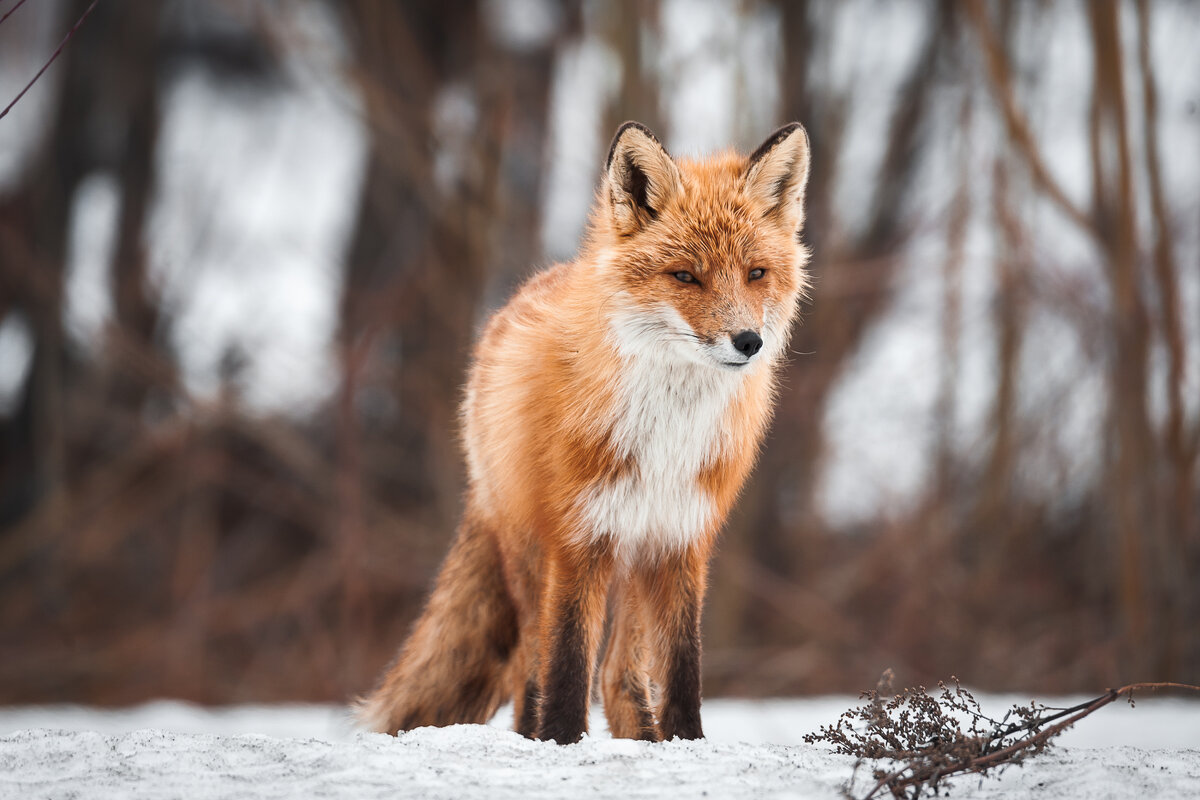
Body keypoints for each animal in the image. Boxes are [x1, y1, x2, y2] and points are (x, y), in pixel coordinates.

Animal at [355, 118, 806, 743]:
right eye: (686, 276)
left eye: (756, 274)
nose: (748, 342)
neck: (665, 436)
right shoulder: (576, 536)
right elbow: (567, 666)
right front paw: (561, 742)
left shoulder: (683, 539)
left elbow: (682, 668)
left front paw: (685, 742)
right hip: (529, 555)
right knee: (531, 668)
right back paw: (532, 734)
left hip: (636, 555)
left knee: (618, 673)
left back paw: (641, 736)